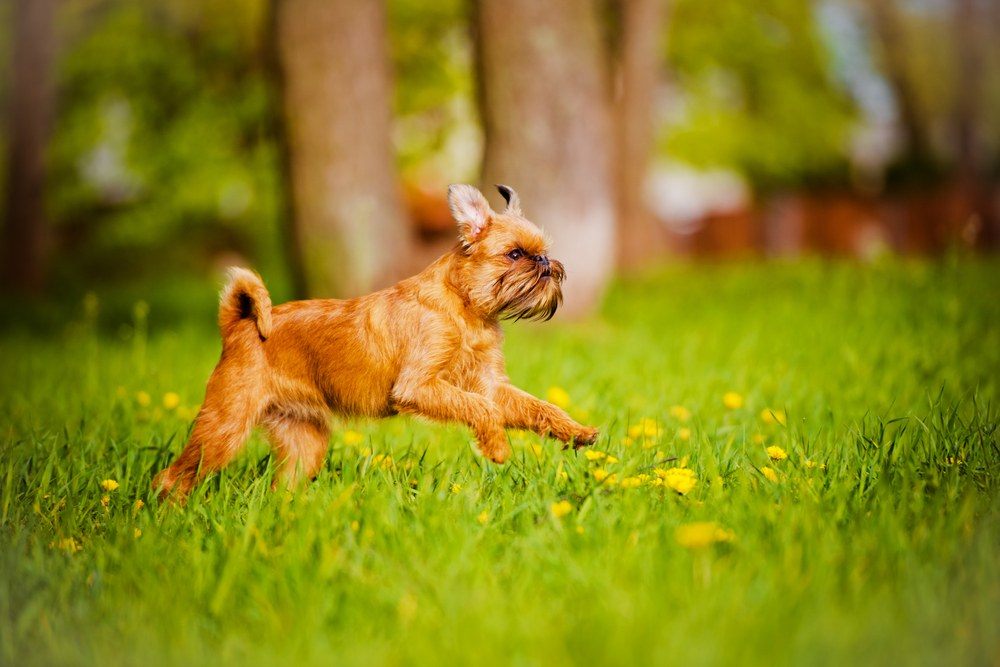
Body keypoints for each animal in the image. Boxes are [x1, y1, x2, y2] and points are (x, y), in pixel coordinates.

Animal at [152, 184, 596, 500]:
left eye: (542, 252)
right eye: (515, 254)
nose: (546, 263)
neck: (465, 308)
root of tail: (240, 326)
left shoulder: (490, 385)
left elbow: (537, 407)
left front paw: (577, 432)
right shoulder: (420, 386)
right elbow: (480, 409)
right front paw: (498, 448)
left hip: (304, 439)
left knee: (284, 484)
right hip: (225, 426)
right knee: (172, 477)